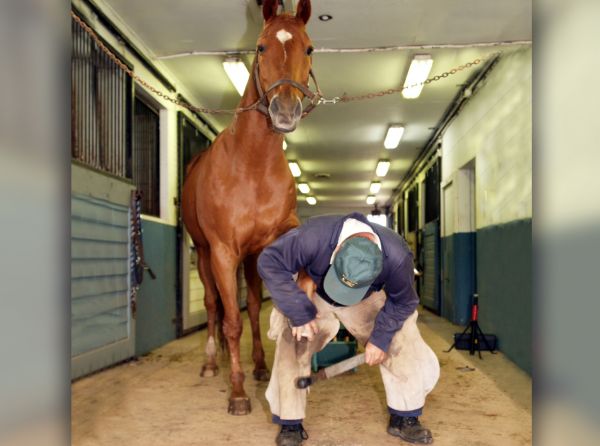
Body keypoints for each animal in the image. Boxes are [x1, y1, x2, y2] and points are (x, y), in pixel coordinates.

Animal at [182, 0, 314, 416]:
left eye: (309, 48)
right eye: (260, 47)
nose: (285, 110)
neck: (251, 164)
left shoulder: (270, 241)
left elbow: (259, 307)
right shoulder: (224, 251)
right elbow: (231, 323)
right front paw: (237, 393)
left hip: (250, 259)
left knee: (252, 307)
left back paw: (256, 365)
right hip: (205, 255)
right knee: (214, 308)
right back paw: (213, 363)